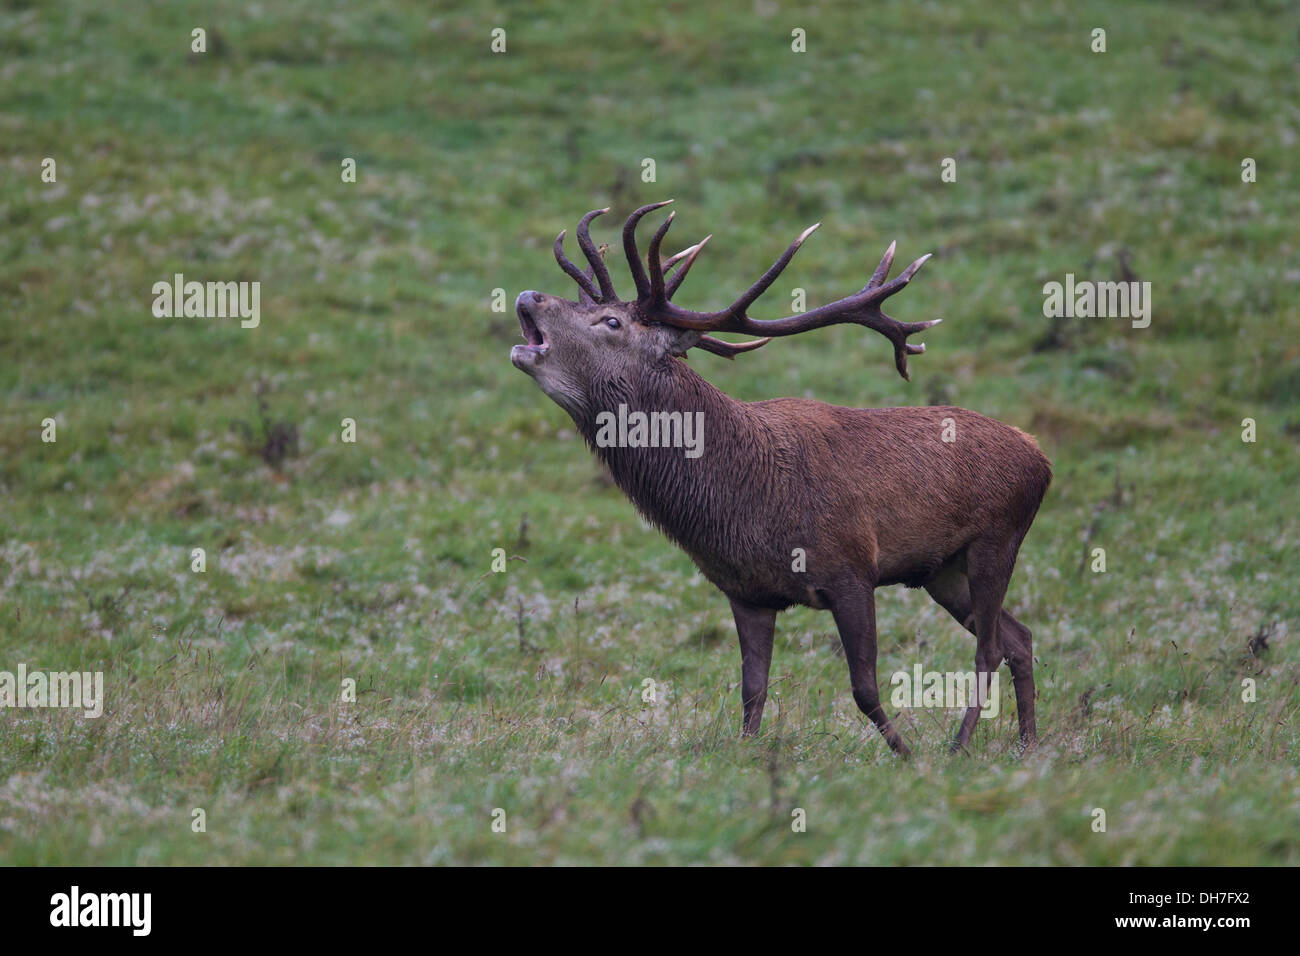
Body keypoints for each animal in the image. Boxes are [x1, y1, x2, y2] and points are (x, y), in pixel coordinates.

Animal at [510, 202, 1051, 756]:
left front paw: (905, 753)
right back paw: (1028, 743)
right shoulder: (746, 592)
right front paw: (746, 752)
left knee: (988, 649)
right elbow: (753, 689)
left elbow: (864, 687)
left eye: (611, 321)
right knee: (1019, 638)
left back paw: (959, 746)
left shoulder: (852, 568)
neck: (745, 504)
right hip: (941, 570)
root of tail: (1039, 455)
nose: (529, 295)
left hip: (997, 539)